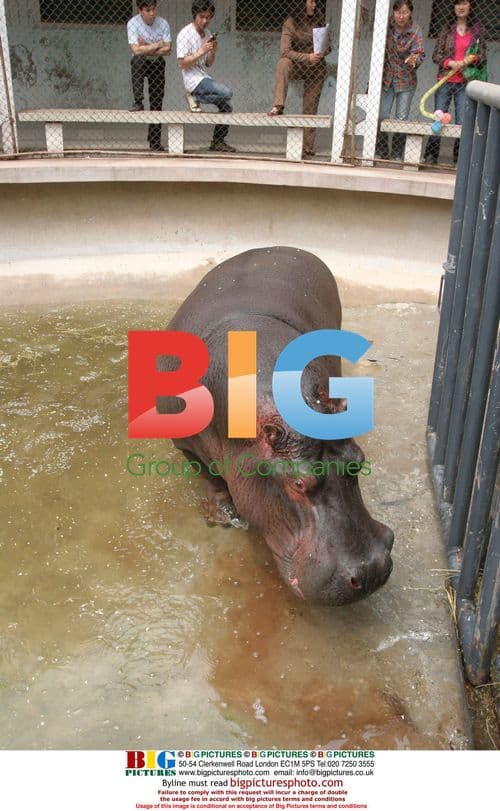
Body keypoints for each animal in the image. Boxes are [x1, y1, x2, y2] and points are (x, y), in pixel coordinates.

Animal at [159, 247, 394, 605]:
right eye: (297, 483)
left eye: (359, 461)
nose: (371, 571)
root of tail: (277, 247)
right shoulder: (184, 443)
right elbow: (208, 475)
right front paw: (223, 517)